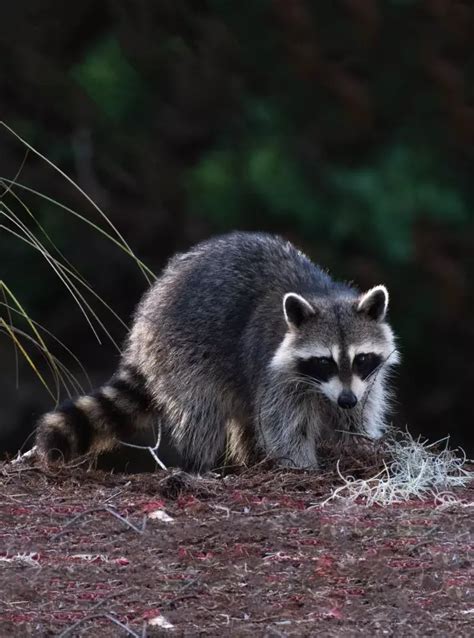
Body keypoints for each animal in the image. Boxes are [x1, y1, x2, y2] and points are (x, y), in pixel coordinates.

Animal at [37, 232, 398, 472]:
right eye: (324, 362)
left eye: (361, 359)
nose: (346, 399)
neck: (323, 295)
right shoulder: (275, 372)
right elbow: (285, 426)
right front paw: (301, 466)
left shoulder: (364, 382)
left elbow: (357, 415)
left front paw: (359, 444)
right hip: (182, 352)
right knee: (202, 411)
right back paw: (199, 465)